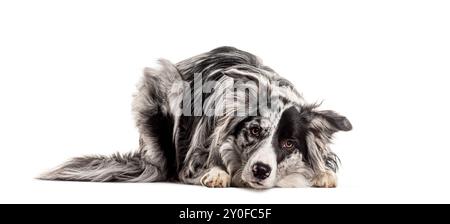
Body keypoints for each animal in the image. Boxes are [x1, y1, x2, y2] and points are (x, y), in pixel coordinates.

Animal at [41, 46, 352, 188]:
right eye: (254, 131)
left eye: (288, 144)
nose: (261, 171)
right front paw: (215, 173)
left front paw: (323, 174)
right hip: (164, 84)